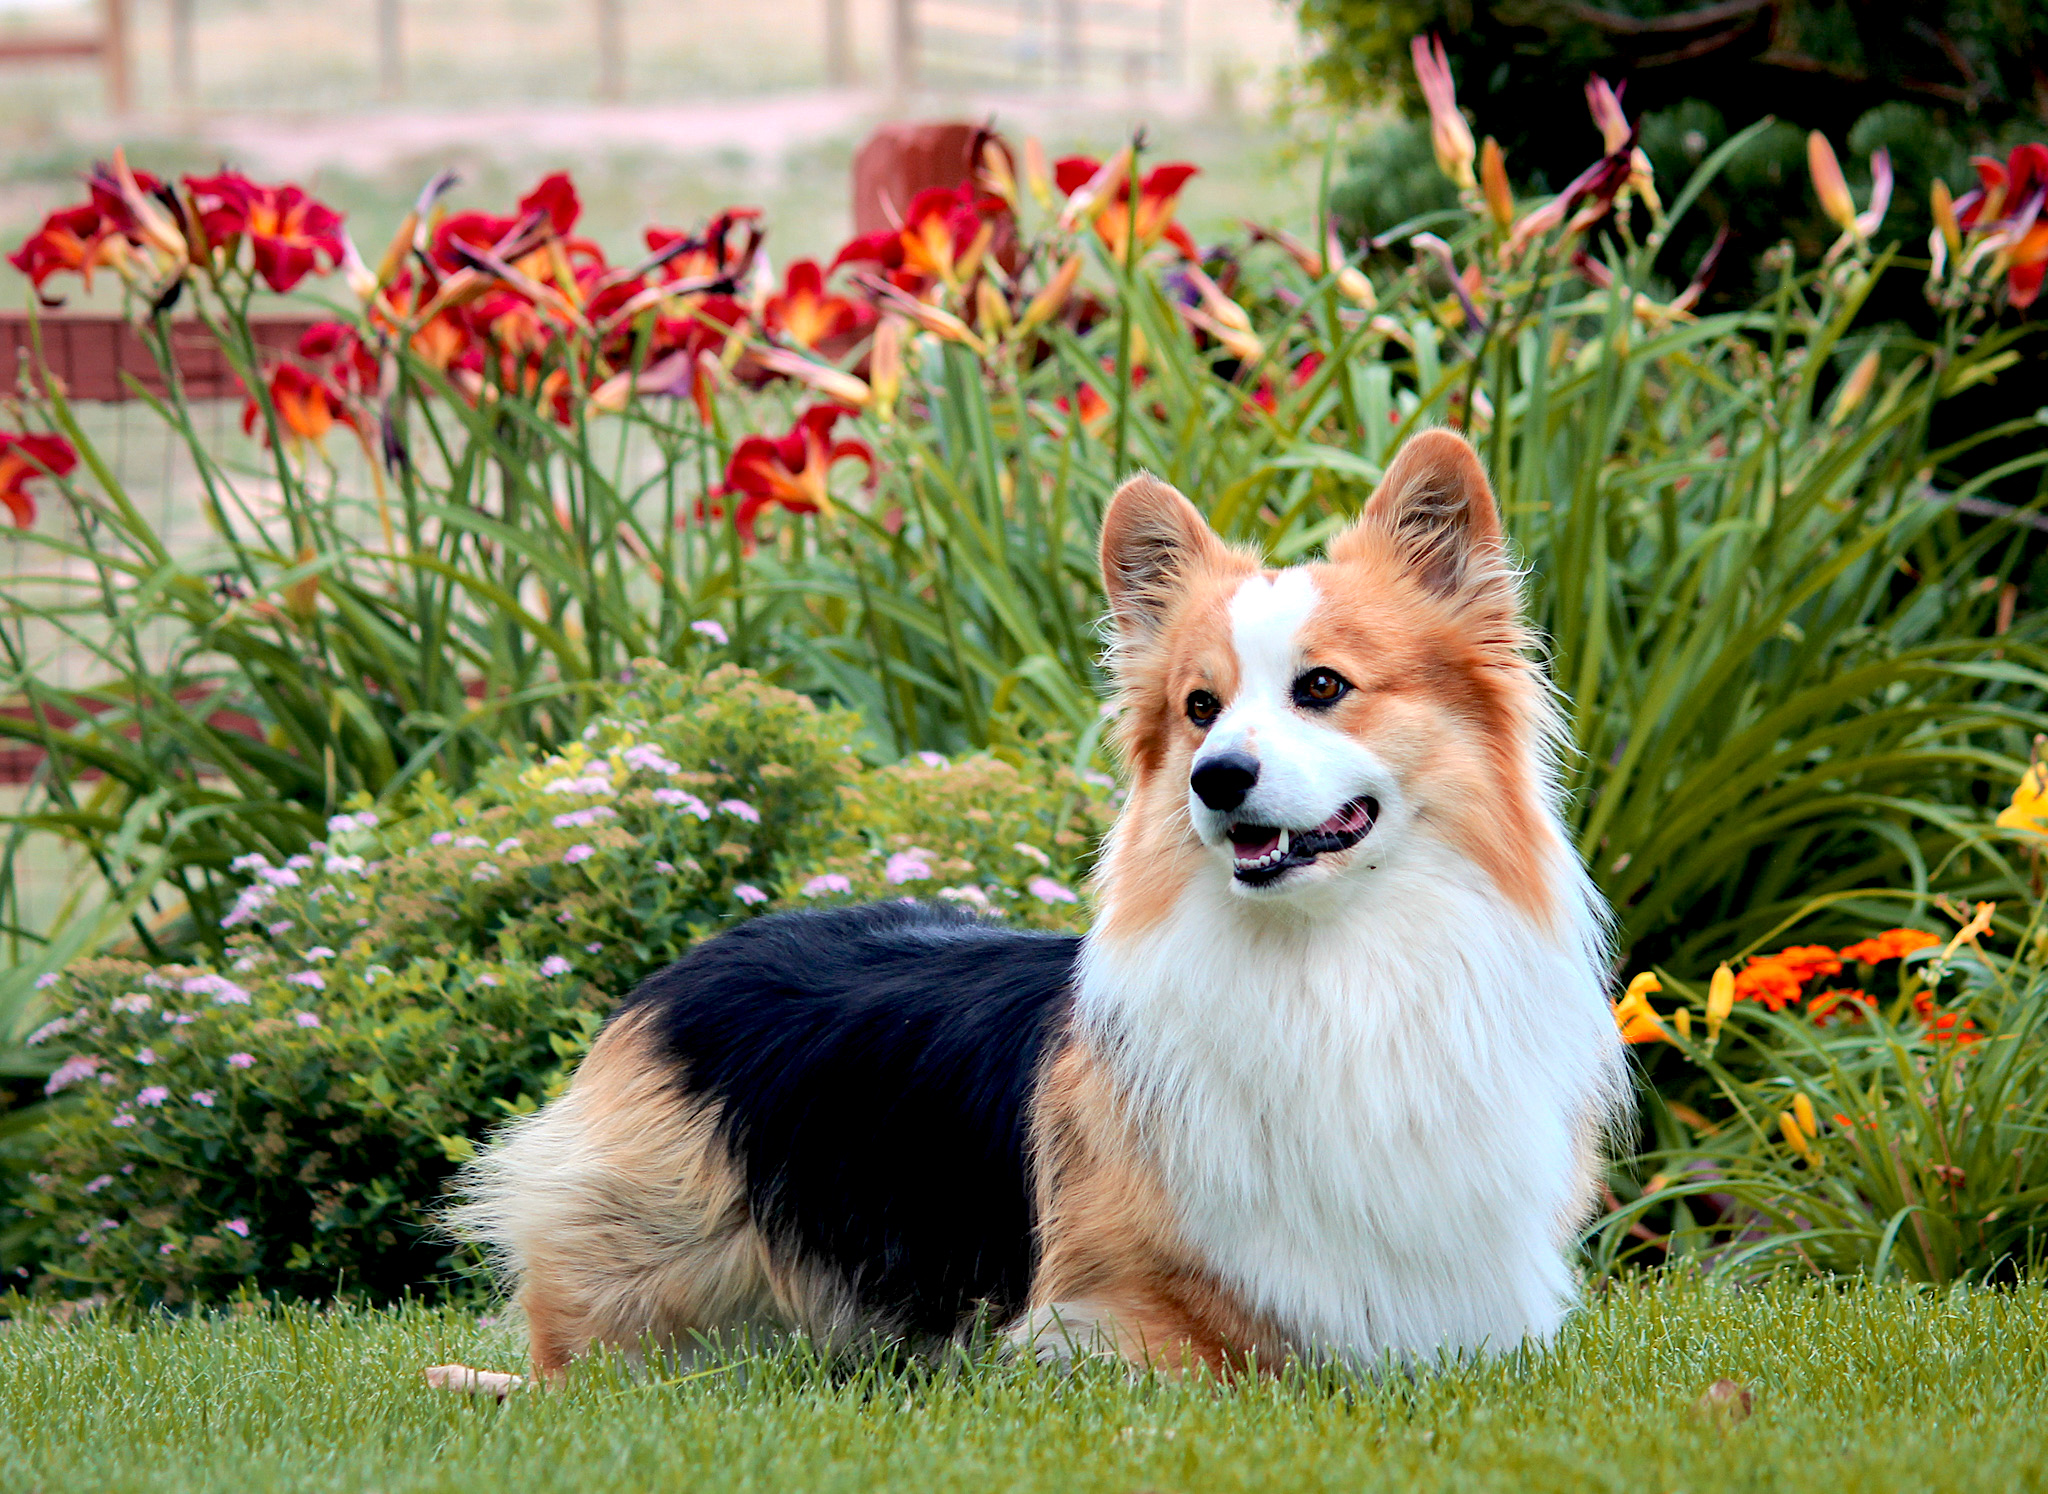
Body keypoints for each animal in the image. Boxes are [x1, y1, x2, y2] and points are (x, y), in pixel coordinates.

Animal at [456, 422, 1622, 1377]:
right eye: (1199, 709)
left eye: (1322, 687)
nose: (1215, 779)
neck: (1335, 959)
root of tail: (686, 968)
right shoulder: (1106, 1313)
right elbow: (1223, 1354)